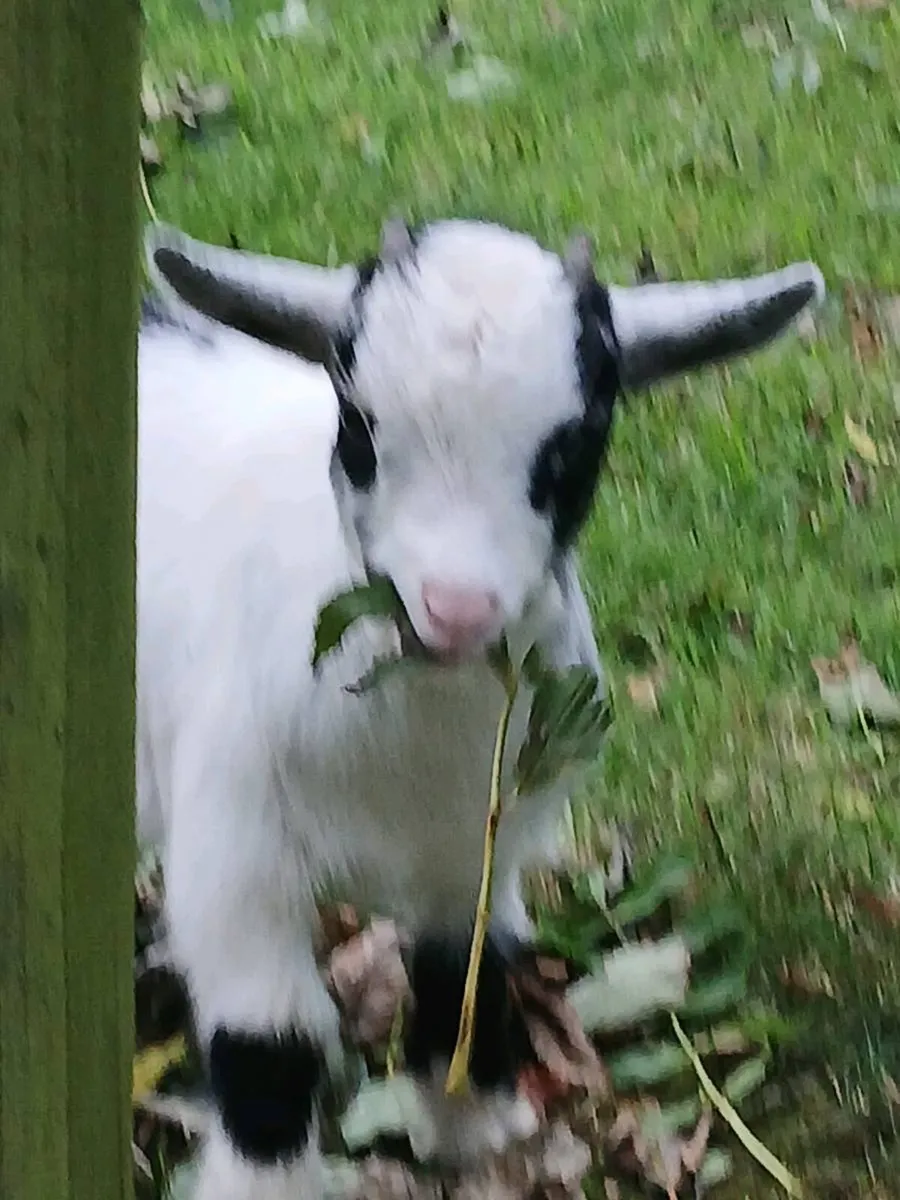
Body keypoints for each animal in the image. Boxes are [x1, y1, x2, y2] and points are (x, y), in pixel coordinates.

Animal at [139, 216, 824, 1200]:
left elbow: (467, 969)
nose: (457, 610)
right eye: (358, 424)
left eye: (578, 443)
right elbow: (269, 1047)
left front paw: (470, 1133)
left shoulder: (475, 844)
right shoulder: (236, 850)